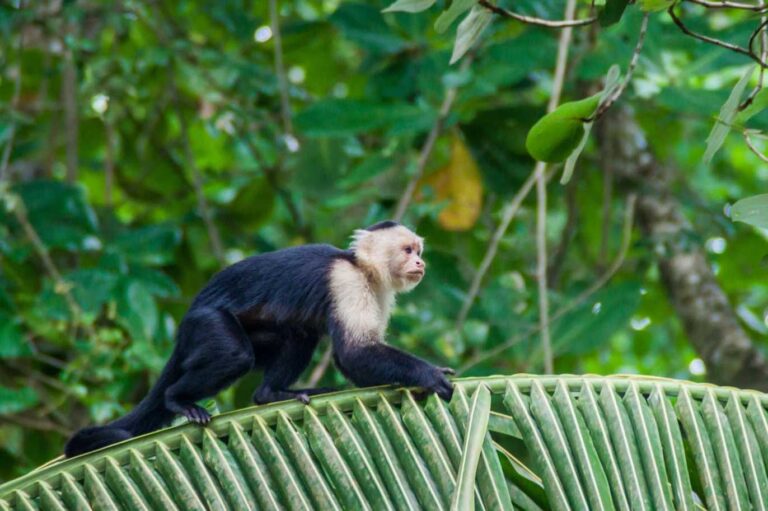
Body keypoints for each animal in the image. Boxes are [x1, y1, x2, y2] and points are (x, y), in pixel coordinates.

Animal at [64, 220, 454, 457]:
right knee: (234, 354)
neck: (362, 268)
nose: (420, 264)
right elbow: (354, 353)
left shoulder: (381, 291)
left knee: (298, 335)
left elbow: (357, 355)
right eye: (408, 250)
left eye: (418, 251)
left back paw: (272, 394)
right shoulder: (347, 281)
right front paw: (429, 375)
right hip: (205, 323)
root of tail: (187, 320)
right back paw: (178, 399)